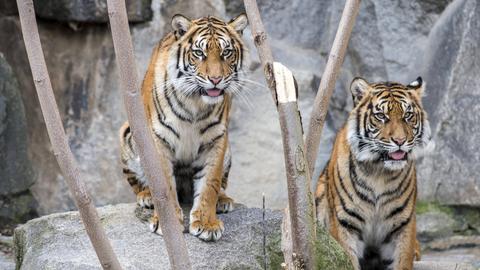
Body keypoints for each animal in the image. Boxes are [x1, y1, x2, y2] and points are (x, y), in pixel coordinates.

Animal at [119, 13, 248, 243]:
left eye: (226, 52)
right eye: (199, 53)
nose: (216, 80)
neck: (195, 103)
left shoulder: (217, 140)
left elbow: (209, 184)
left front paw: (207, 224)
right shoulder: (158, 139)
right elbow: (165, 186)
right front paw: (166, 224)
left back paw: (223, 201)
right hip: (127, 134)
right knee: (138, 184)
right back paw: (146, 197)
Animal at [316, 77, 436, 270]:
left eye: (407, 115)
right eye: (381, 116)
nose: (400, 141)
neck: (379, 173)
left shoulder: (402, 226)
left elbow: (403, 260)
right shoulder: (345, 224)